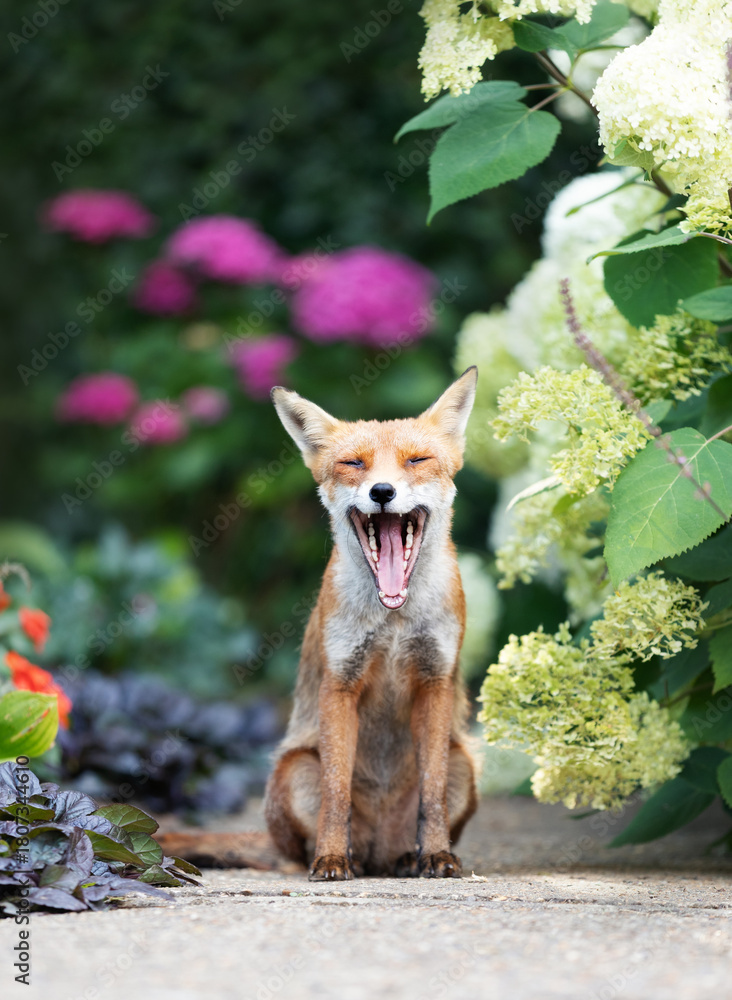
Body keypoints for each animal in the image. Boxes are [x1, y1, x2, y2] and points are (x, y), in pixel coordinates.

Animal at [263, 366, 480, 880]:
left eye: (417, 460)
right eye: (353, 464)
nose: (383, 492)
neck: (394, 622)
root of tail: (380, 849)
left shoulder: (436, 681)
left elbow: (432, 794)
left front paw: (437, 855)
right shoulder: (340, 683)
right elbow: (336, 792)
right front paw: (331, 858)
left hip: (465, 763)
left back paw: (407, 857)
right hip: (294, 771)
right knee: (292, 849)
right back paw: (347, 858)